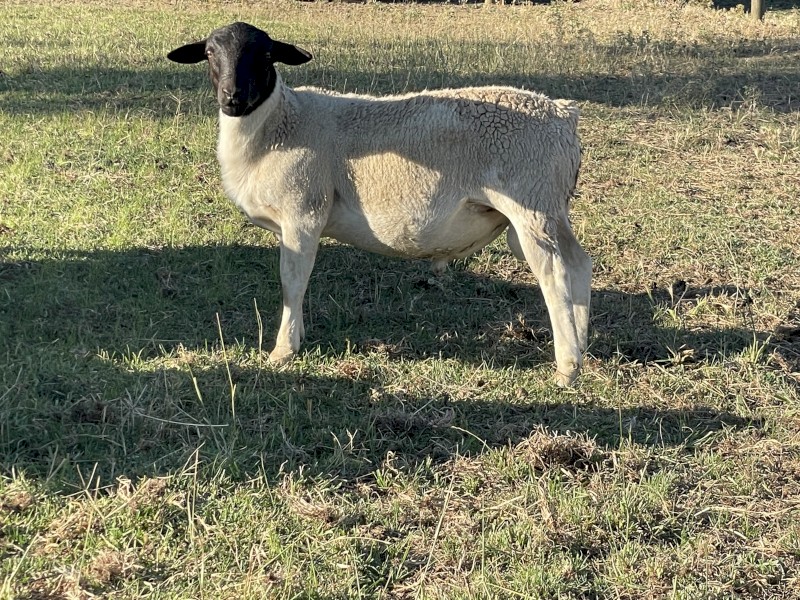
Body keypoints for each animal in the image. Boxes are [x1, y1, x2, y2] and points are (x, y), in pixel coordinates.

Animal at [167, 22, 592, 386]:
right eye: (209, 53)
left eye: (266, 54)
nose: (233, 98)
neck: (282, 123)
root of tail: (564, 115)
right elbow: (295, 281)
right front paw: (297, 336)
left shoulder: (303, 211)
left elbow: (292, 281)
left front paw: (283, 350)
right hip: (549, 211)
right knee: (578, 264)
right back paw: (582, 343)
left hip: (531, 204)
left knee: (554, 276)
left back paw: (567, 367)